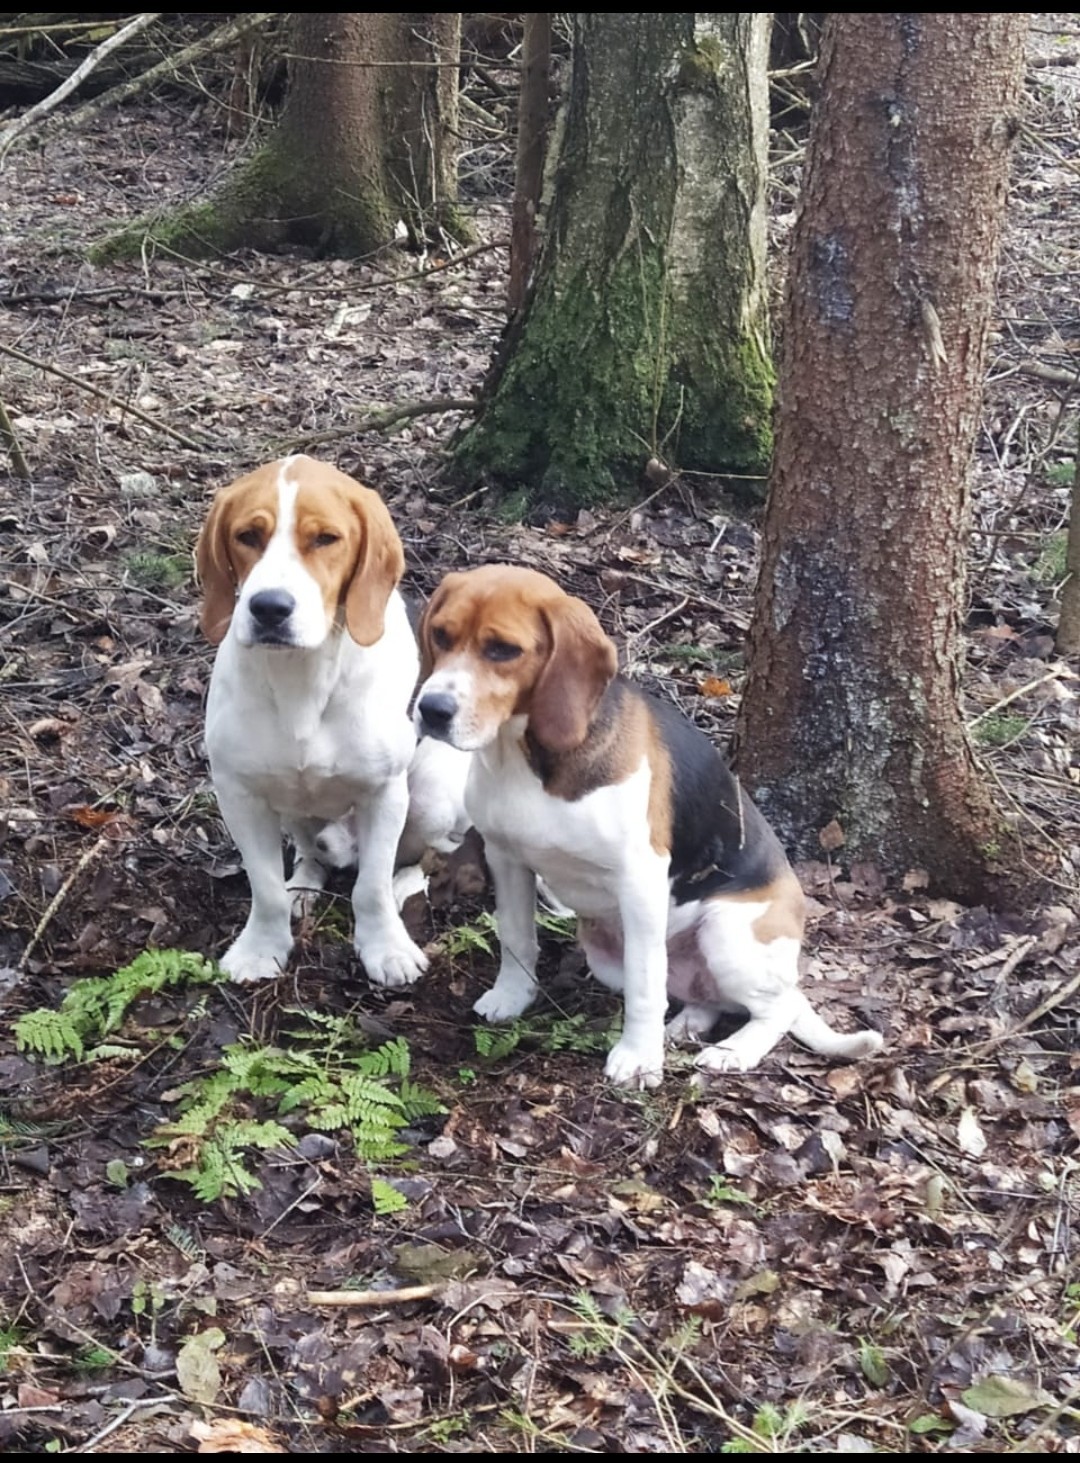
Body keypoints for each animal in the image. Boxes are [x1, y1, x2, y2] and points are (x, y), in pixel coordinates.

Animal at [196, 450, 465, 988]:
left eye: (325, 539)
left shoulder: (385, 794)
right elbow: (265, 888)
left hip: (432, 795)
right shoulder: (240, 794)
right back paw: (304, 882)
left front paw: (385, 947)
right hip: (291, 807)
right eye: (247, 535)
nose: (269, 608)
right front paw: (262, 947)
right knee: (308, 850)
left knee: (427, 858)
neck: (302, 675)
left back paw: (406, 886)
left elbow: (371, 888)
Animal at [412, 564, 878, 1094]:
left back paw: (731, 1052)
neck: (526, 758)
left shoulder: (640, 882)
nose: (431, 709)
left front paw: (637, 1058)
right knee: (707, 997)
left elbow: (645, 981)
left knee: (773, 1011)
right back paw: (688, 1024)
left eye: (503, 649)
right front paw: (511, 996)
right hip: (604, 954)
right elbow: (516, 937)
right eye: (441, 634)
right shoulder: (506, 858)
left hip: (728, 933)